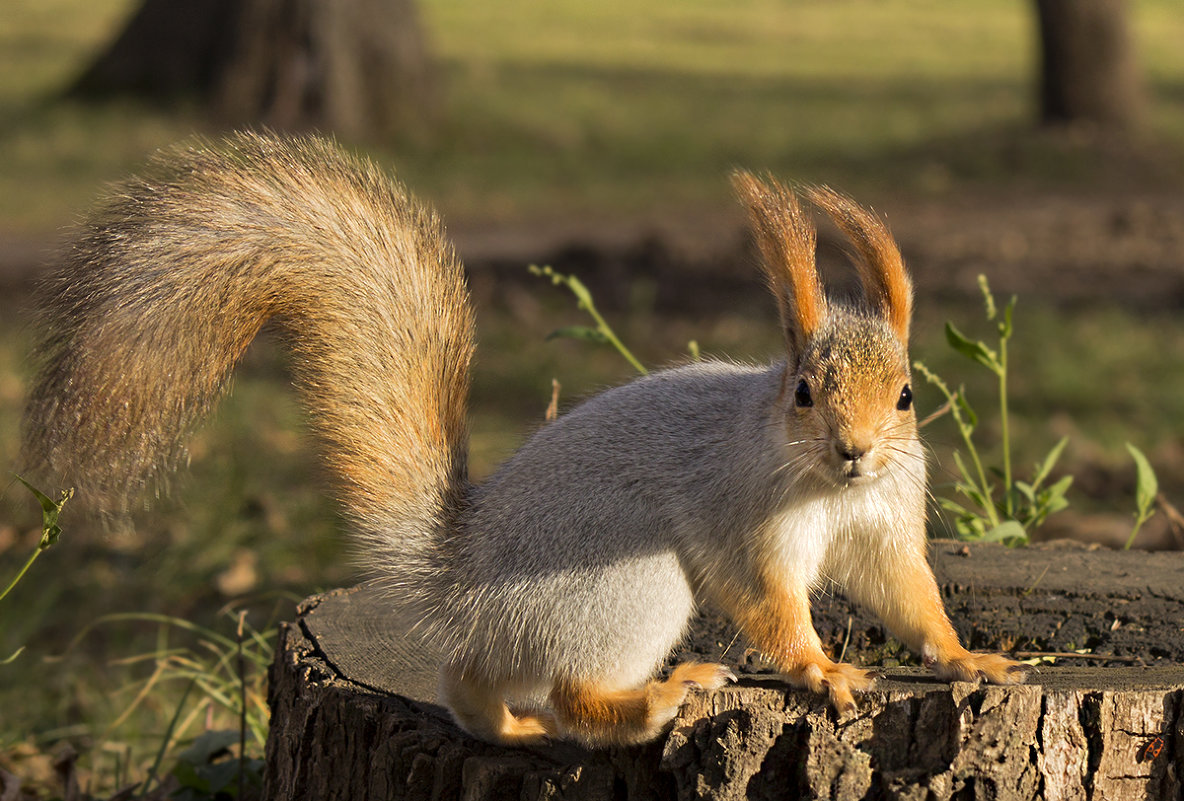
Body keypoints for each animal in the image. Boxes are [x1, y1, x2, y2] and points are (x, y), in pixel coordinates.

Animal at [18, 132, 1022, 747]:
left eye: (905, 395)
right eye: (806, 392)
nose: (856, 448)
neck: (829, 486)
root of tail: (455, 580)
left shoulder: (886, 523)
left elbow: (909, 596)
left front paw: (965, 657)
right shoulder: (744, 518)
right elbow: (771, 606)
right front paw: (821, 669)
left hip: (514, 642)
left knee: (472, 690)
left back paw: (510, 725)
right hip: (626, 582)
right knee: (577, 692)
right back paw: (656, 694)